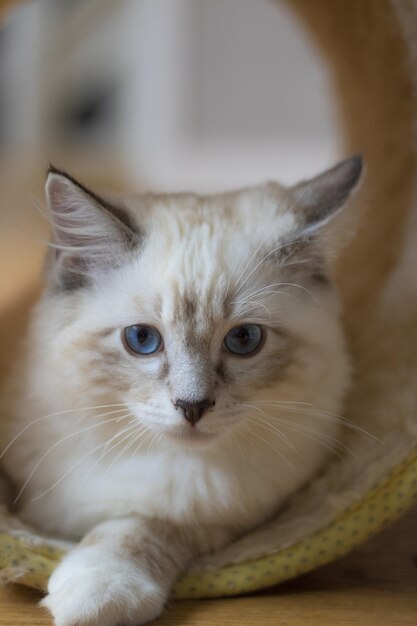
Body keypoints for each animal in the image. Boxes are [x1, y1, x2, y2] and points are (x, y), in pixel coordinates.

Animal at [0, 156, 360, 624]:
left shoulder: (215, 514)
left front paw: (97, 593)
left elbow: (135, 528)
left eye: (244, 339)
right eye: (141, 339)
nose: (193, 406)